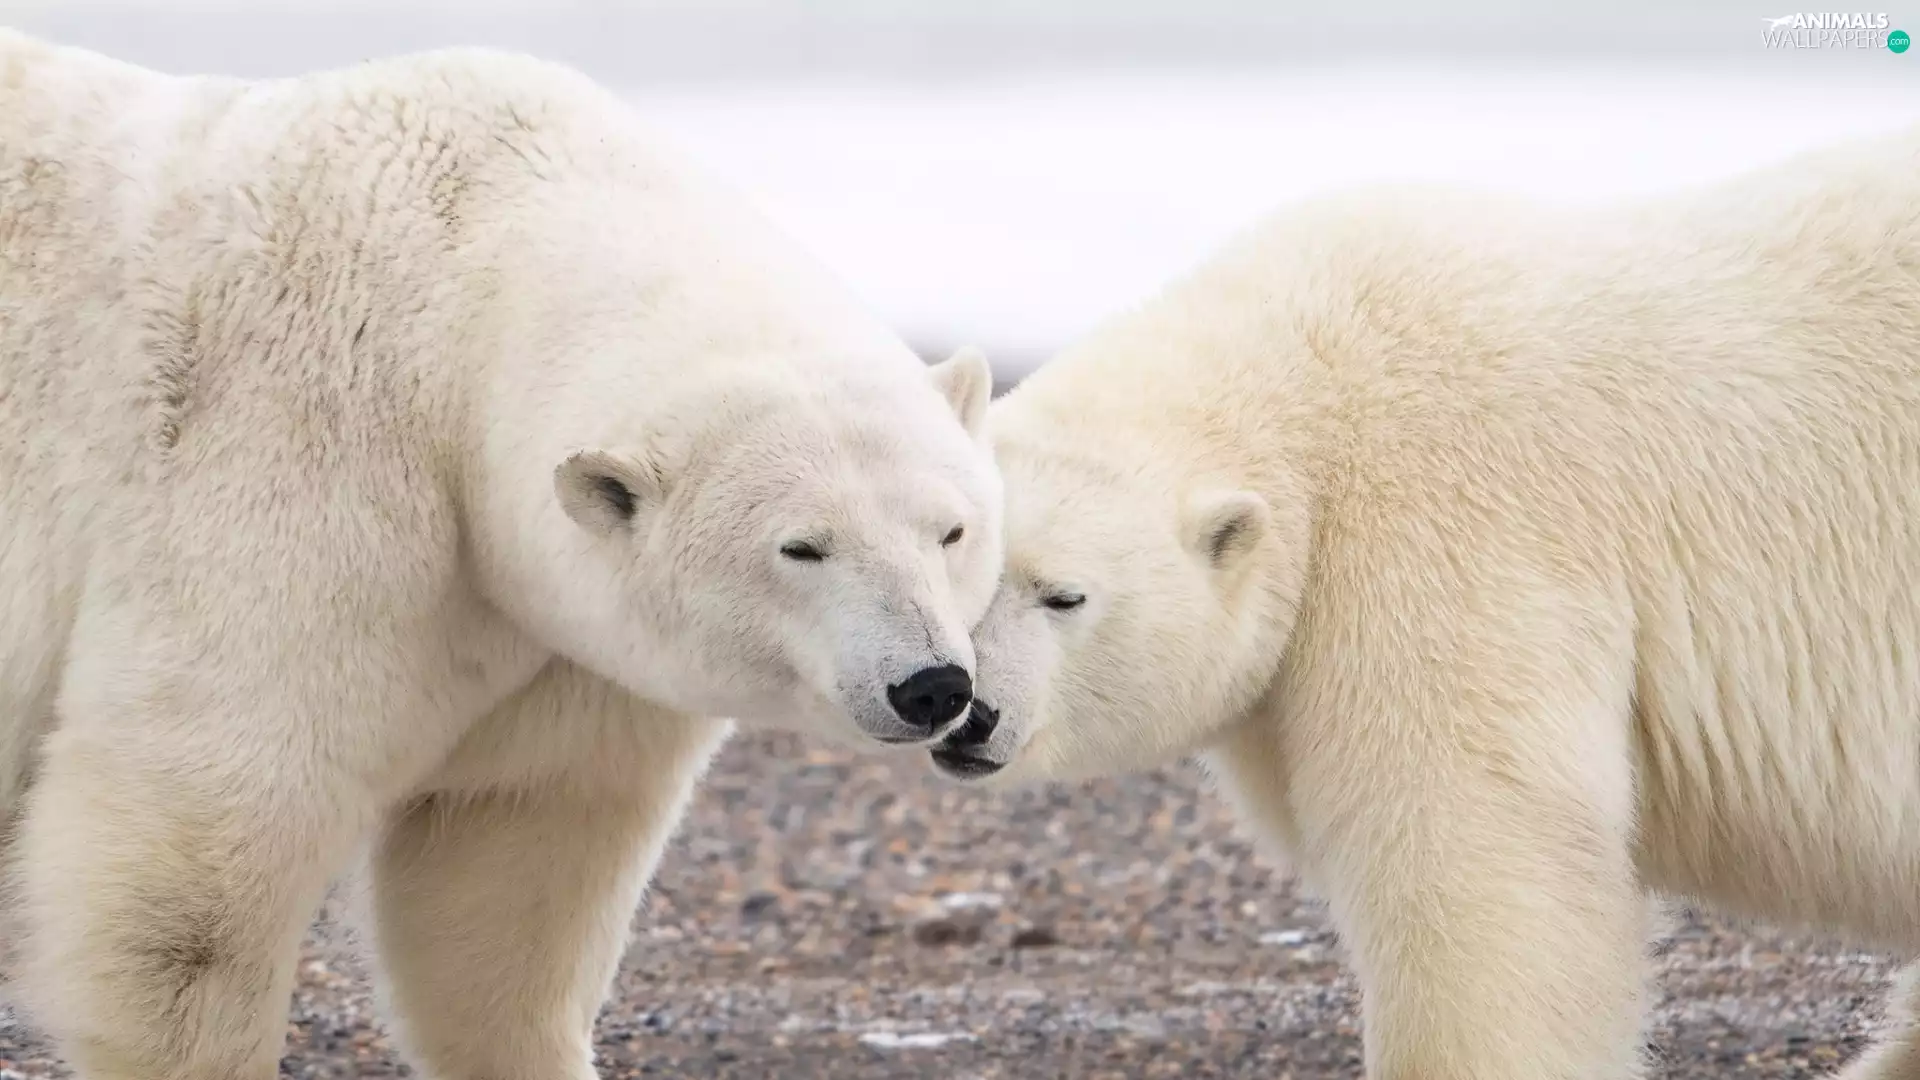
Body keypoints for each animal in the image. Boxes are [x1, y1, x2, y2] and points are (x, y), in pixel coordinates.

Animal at [0, 31, 1002, 1080]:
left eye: (951, 530)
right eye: (802, 547)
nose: (931, 685)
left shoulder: (556, 636)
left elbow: (510, 865)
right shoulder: (293, 460)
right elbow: (208, 825)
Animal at [932, 121, 1920, 1079]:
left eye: (1063, 595)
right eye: (952, 567)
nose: (969, 714)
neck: (1313, 371)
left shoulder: (1442, 538)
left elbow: (1472, 849)